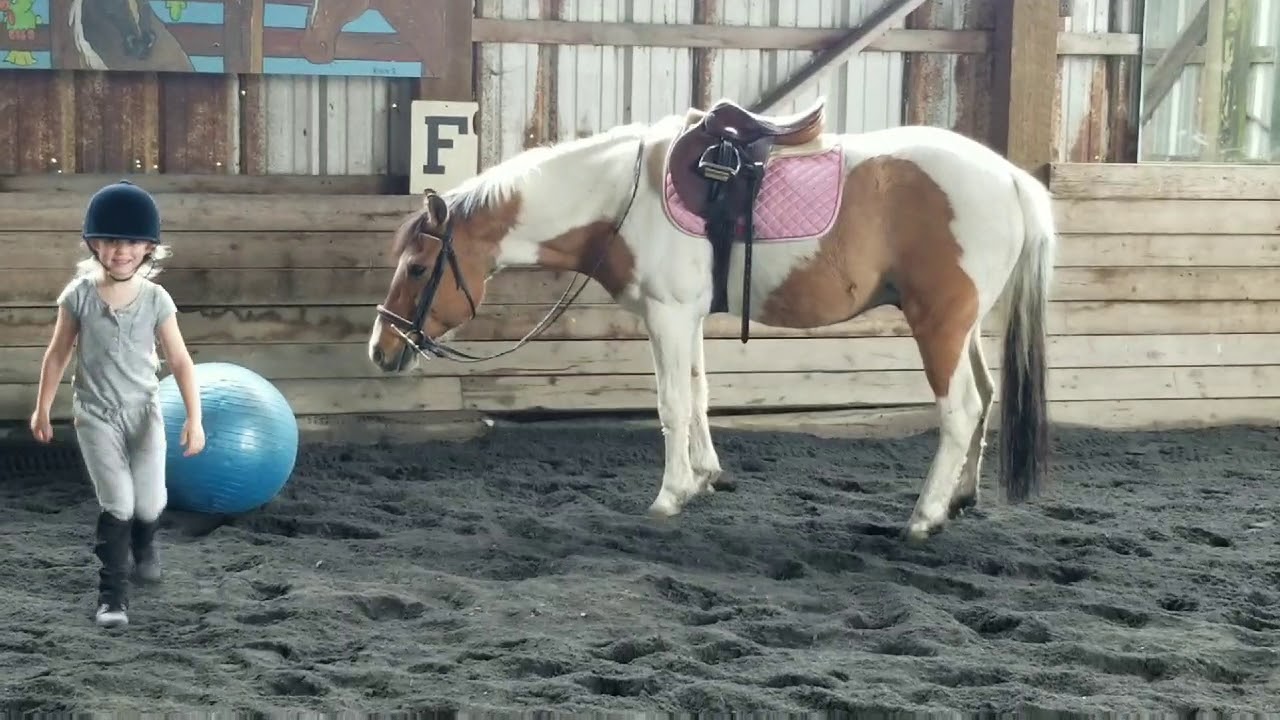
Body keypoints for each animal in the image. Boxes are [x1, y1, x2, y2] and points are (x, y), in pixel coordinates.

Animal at [367, 96, 1056, 542]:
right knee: (986, 397)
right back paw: (959, 499)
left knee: (960, 409)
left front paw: (670, 496)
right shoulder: (687, 318)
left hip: (938, 323)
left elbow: (671, 405)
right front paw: (704, 479)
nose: (380, 349)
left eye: (419, 268)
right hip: (963, 327)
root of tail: (1010, 177)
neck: (624, 197)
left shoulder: (668, 316)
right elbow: (697, 398)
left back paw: (923, 516)